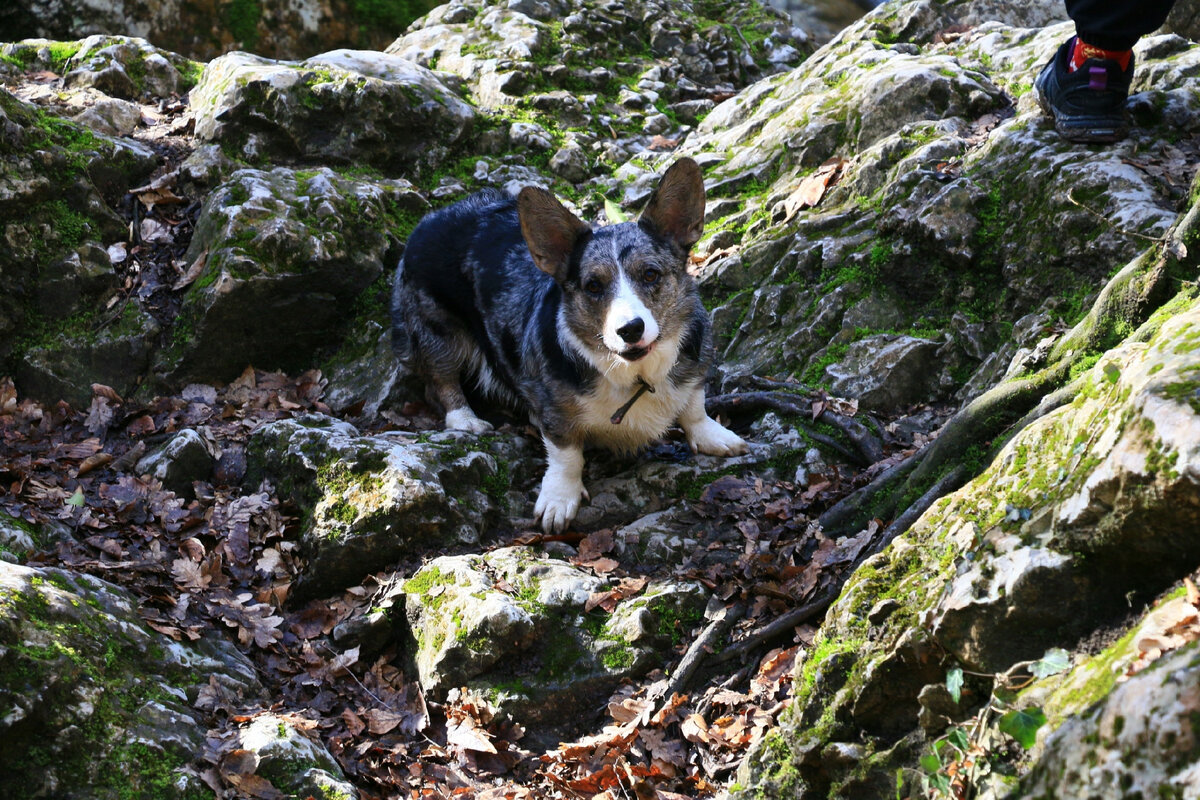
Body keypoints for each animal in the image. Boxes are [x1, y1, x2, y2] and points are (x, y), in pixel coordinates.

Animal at [393, 155, 744, 532]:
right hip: (439, 330)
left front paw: (713, 436)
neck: (634, 373)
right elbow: (566, 455)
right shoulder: (555, 413)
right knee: (441, 380)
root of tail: (431, 218)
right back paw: (465, 419)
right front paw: (559, 499)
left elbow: (694, 406)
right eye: (593, 286)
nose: (630, 330)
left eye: (651, 274)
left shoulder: (696, 362)